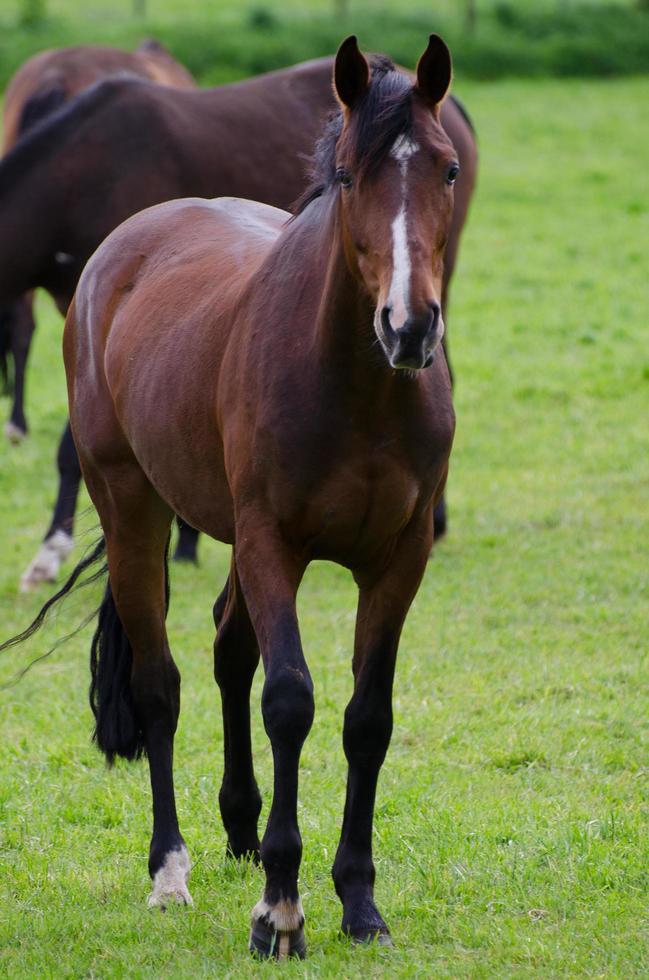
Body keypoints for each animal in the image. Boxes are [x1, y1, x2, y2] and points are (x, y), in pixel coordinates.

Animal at [57, 34, 456, 960]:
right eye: (348, 175)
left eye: (448, 170)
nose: (409, 326)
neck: (356, 388)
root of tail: (120, 250)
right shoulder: (274, 541)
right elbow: (290, 701)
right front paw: (281, 910)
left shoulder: (400, 559)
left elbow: (366, 718)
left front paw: (358, 902)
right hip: (132, 507)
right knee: (161, 683)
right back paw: (171, 869)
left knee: (227, 650)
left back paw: (239, 826)